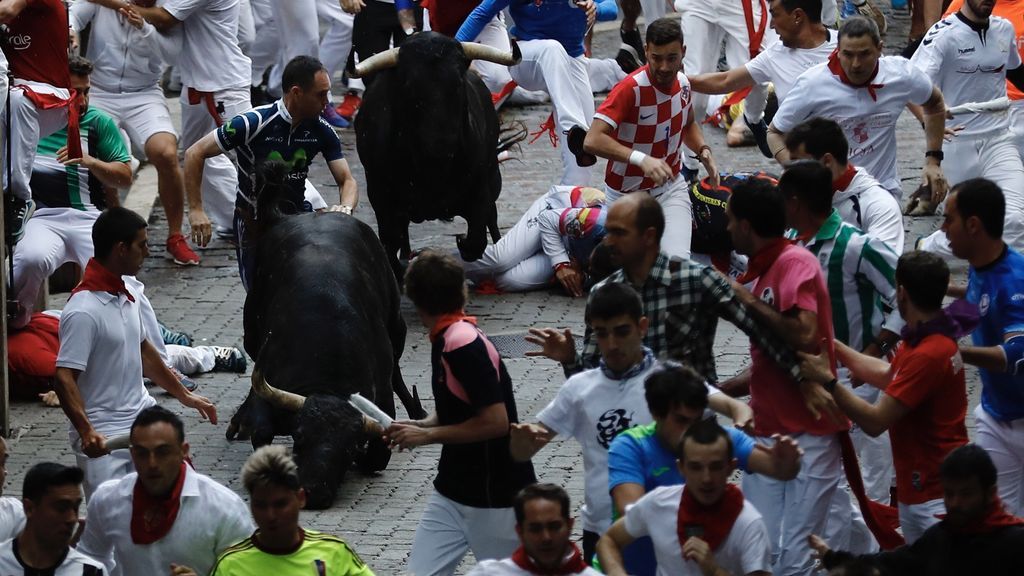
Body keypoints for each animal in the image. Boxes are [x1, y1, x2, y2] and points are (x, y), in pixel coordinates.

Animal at [227, 163, 423, 504]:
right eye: (299, 434)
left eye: (351, 446)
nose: (313, 491)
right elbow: (262, 430)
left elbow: (377, 456)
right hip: (250, 332)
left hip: (397, 326)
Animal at [356, 31, 524, 276]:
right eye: (409, 86)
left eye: (458, 83)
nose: (441, 146)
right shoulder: (379, 194)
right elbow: (390, 242)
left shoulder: (480, 188)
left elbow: (477, 239)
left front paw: (462, 240)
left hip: (493, 177)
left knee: (492, 219)